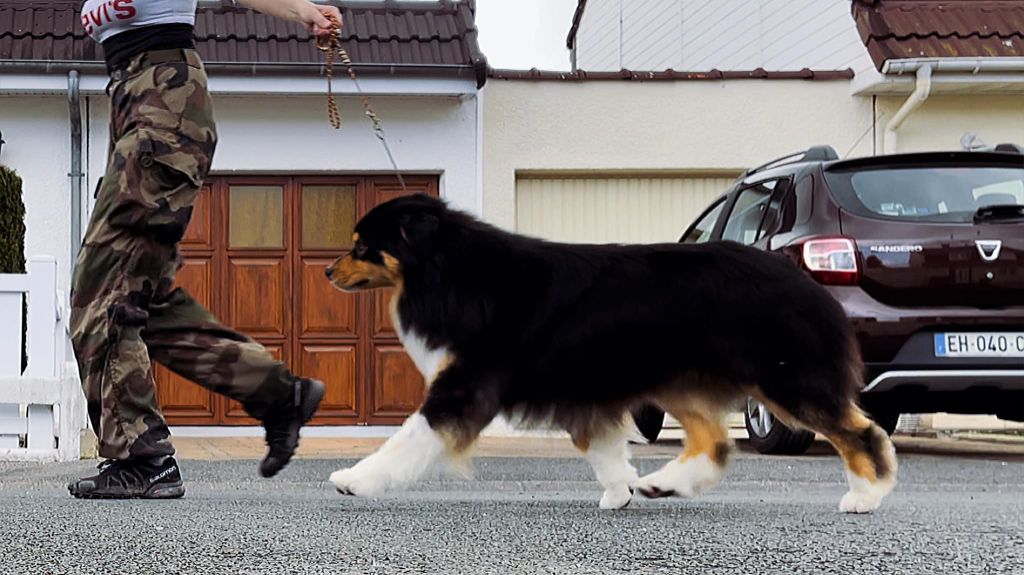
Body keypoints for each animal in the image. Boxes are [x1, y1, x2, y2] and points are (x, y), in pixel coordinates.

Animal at [325, 193, 897, 509]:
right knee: (715, 443)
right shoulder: (583, 391)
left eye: (362, 246)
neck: (448, 271)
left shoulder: (466, 386)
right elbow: (600, 446)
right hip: (680, 378)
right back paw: (662, 485)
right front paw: (621, 489)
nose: (327, 270)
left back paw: (866, 496)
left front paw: (354, 480)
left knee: (861, 432)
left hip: (785, 376)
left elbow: (409, 439)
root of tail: (805, 279)